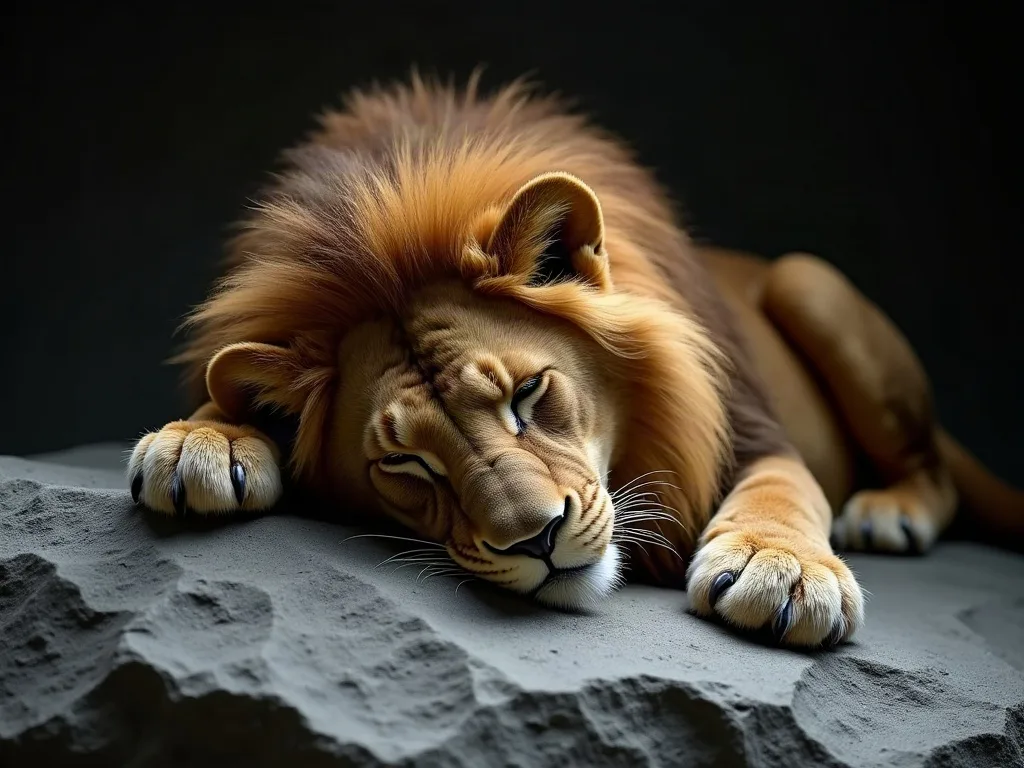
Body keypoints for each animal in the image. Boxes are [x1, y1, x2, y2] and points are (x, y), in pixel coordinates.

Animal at [126, 73, 1023, 648]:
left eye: (529, 392)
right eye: (407, 463)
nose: (539, 540)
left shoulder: (753, 430)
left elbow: (780, 488)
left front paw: (785, 569)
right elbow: (226, 386)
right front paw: (201, 438)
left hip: (813, 282)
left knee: (933, 470)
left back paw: (886, 513)